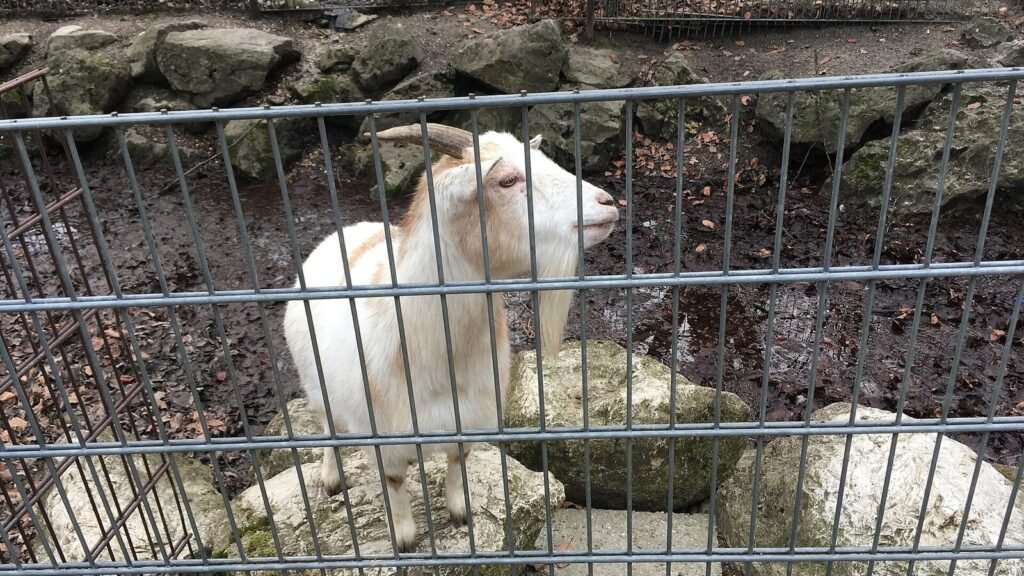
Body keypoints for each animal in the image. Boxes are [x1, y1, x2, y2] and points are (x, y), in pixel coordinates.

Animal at [283, 123, 619, 552]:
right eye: (506, 180)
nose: (607, 203)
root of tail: (346, 232)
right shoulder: (384, 437)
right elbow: (394, 482)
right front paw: (404, 538)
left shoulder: (472, 417)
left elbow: (459, 462)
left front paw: (461, 512)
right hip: (315, 385)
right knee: (328, 425)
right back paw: (331, 478)